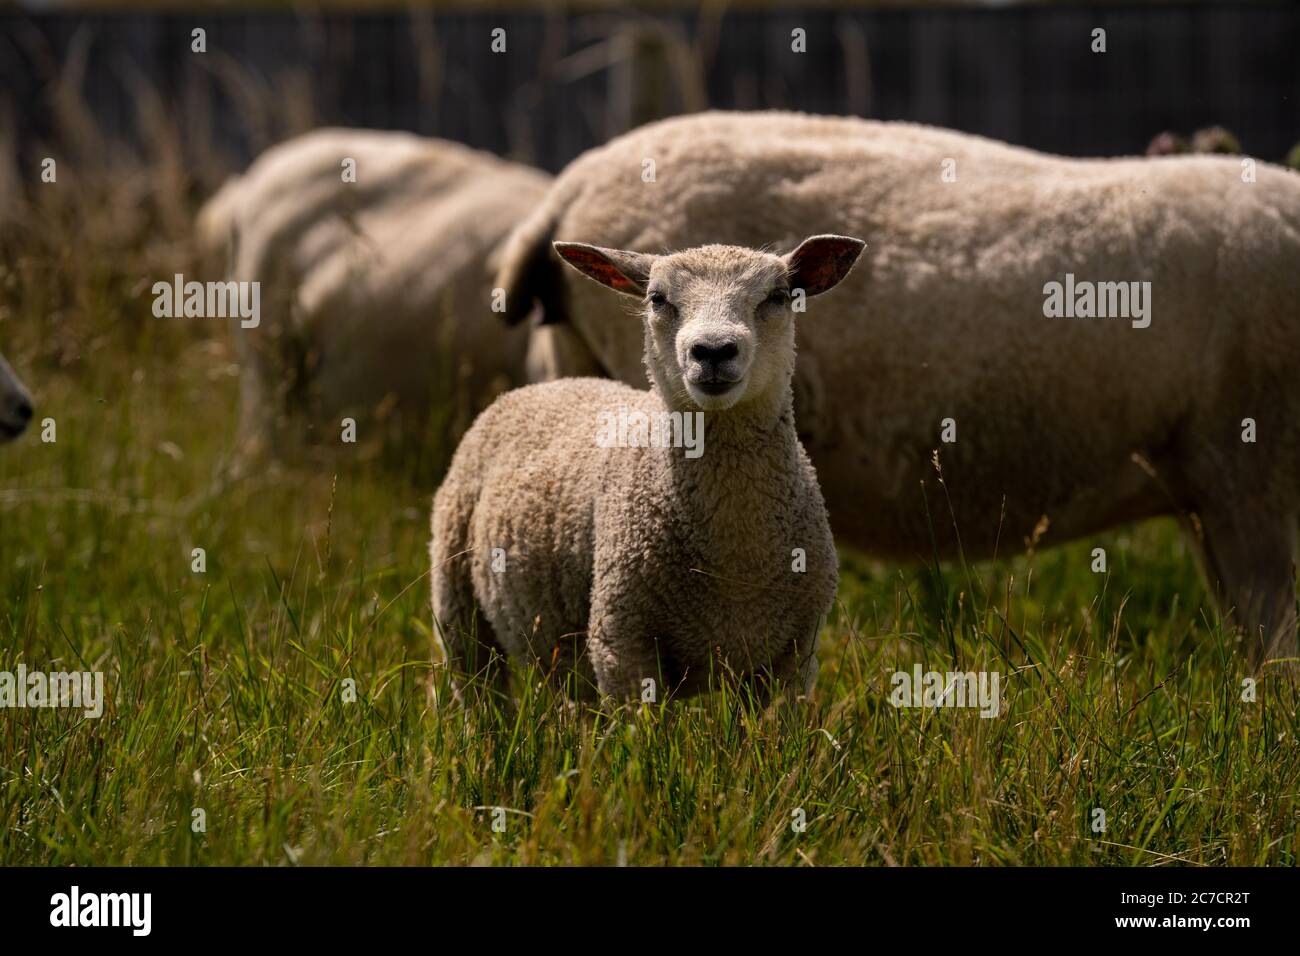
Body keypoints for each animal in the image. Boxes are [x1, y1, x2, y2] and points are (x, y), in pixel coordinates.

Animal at [430, 234, 862, 702]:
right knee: (478, 689)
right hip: (457, 600)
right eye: (658, 299)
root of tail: (550, 385)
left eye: (778, 296)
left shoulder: (795, 654)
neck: (736, 563)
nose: (712, 351)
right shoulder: (621, 643)